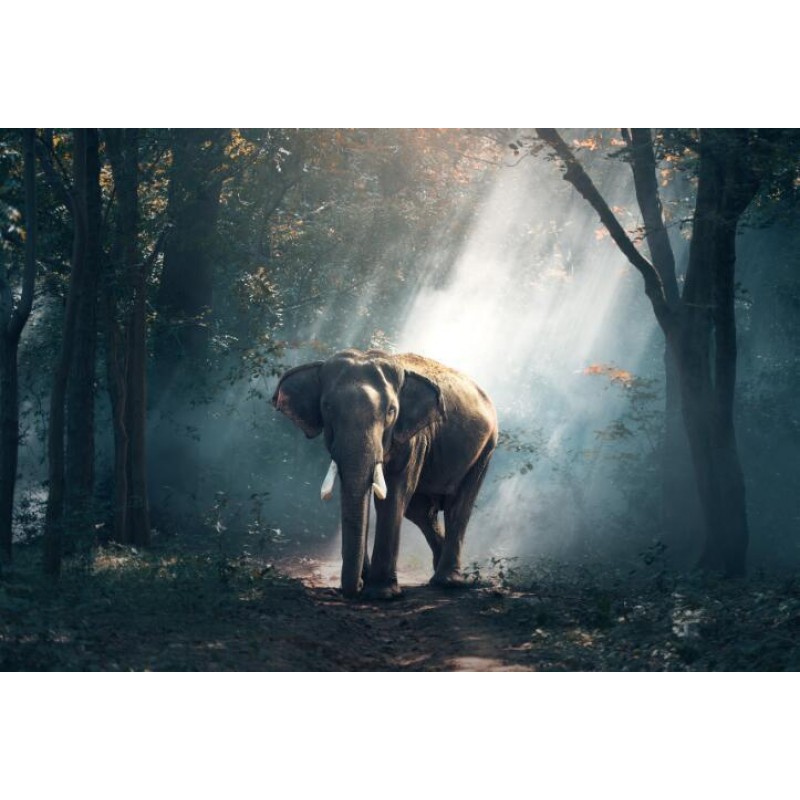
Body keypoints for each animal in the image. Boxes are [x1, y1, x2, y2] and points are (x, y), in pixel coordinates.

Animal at [272, 348, 498, 599]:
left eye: (391, 411)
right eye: (327, 407)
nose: (356, 587)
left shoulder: (413, 437)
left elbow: (393, 495)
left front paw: (381, 594)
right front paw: (368, 583)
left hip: (486, 448)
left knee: (458, 506)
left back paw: (448, 582)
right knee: (420, 512)